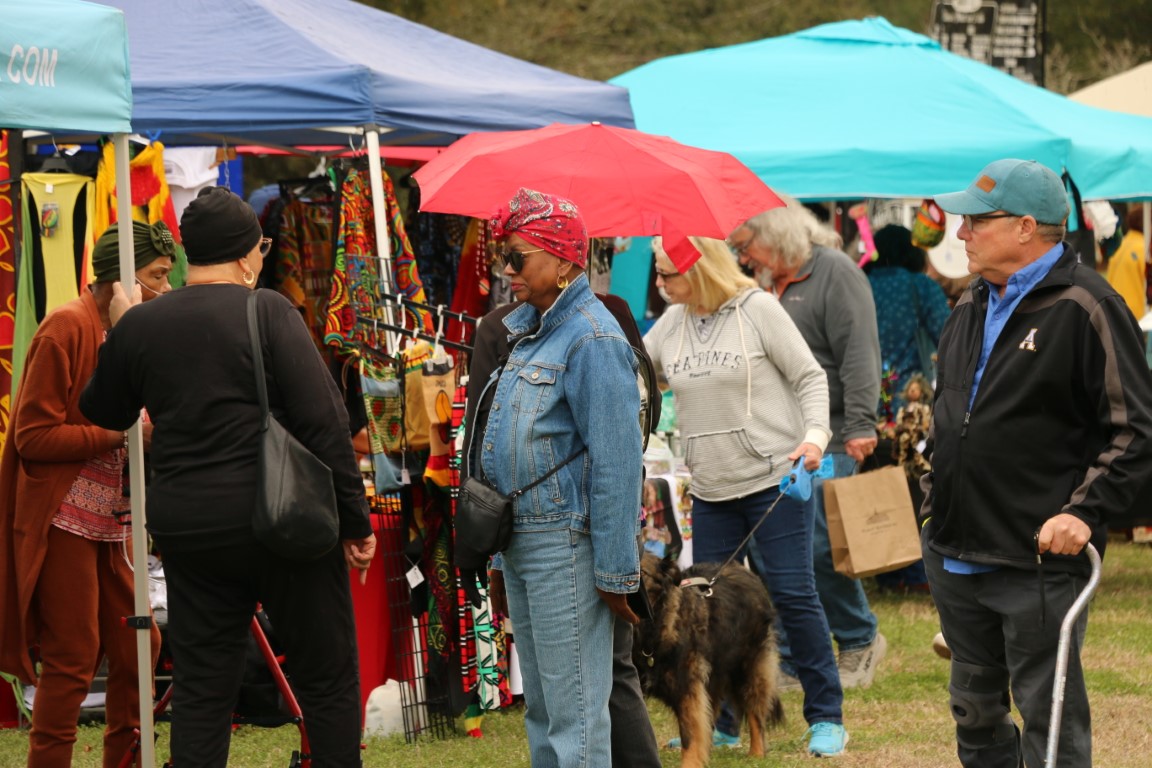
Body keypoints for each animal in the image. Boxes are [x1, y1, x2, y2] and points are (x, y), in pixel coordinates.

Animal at [631, 554, 783, 764]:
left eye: (643, 572)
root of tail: (746, 571)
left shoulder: (688, 689)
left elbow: (690, 735)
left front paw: (691, 763)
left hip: (748, 669)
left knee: (756, 712)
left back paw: (757, 754)